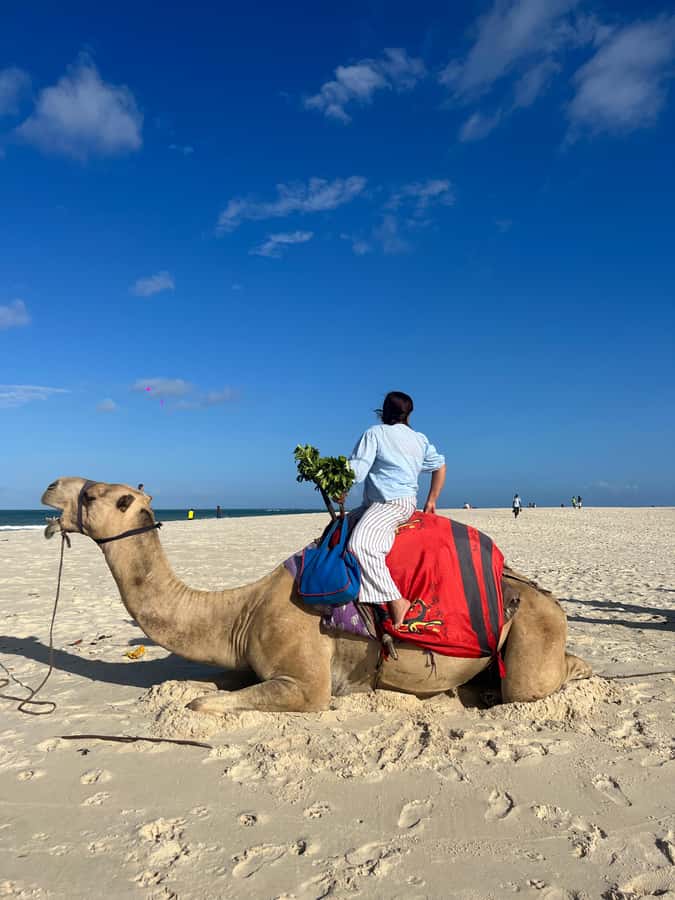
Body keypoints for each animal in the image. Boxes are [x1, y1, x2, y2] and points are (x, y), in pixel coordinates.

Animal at [41, 477, 591, 716]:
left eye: (90, 494)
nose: (49, 487)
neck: (240, 613)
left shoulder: (305, 681)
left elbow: (206, 703)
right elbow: (206, 683)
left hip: (534, 624)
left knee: (531, 685)